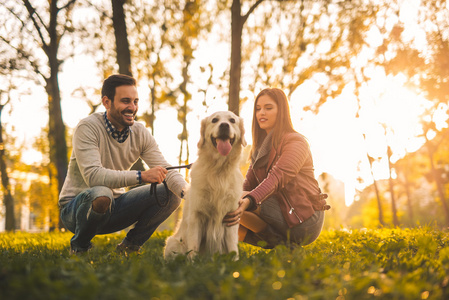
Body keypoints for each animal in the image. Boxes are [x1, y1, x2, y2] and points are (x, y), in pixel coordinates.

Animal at [164, 111, 247, 258]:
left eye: (232, 120)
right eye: (214, 120)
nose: (224, 125)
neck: (219, 171)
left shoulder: (231, 218)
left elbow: (233, 249)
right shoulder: (197, 216)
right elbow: (193, 248)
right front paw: (192, 262)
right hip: (173, 243)